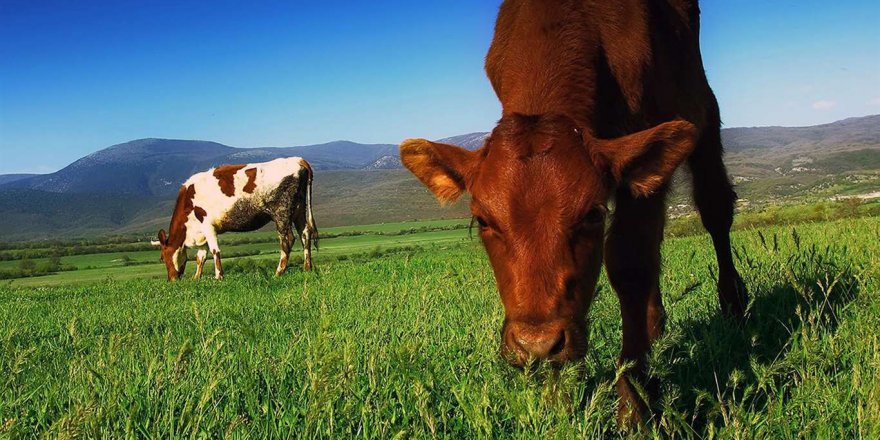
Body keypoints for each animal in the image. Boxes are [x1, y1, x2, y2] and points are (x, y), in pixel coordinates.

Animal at [153, 158, 318, 280]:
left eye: (162, 257)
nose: (171, 280)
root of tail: (297, 159)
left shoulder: (208, 225)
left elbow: (215, 251)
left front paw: (219, 276)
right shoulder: (201, 233)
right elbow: (201, 257)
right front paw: (196, 278)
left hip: (281, 212)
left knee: (287, 239)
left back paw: (278, 272)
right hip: (299, 210)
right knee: (305, 234)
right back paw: (307, 268)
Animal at [402, 0, 744, 426]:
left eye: (593, 215)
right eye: (483, 220)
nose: (536, 343)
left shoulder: (645, 153)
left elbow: (631, 265)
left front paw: (633, 403)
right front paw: (557, 401)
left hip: (702, 108)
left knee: (714, 209)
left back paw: (733, 306)